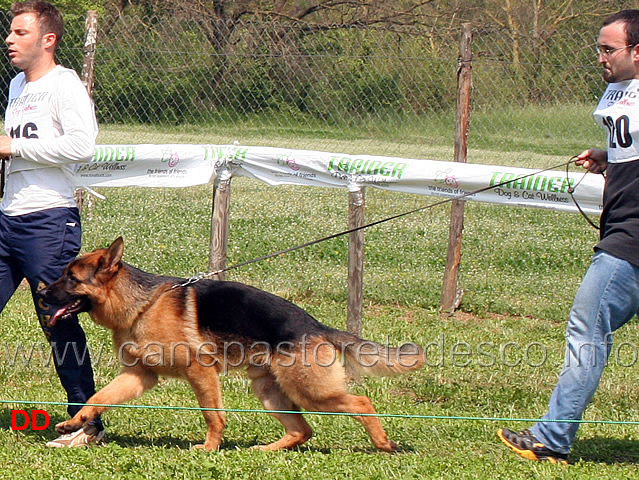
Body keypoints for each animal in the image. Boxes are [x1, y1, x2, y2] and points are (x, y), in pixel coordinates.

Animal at [37, 238, 422, 452]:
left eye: (70, 278)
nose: (40, 295)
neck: (141, 305)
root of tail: (317, 327)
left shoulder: (200, 372)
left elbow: (213, 414)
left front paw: (209, 448)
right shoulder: (140, 376)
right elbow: (97, 398)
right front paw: (75, 423)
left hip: (311, 391)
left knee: (361, 402)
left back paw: (383, 444)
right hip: (270, 392)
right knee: (303, 430)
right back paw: (265, 449)